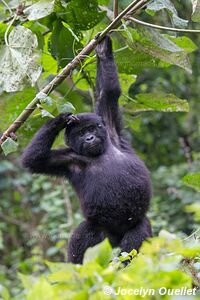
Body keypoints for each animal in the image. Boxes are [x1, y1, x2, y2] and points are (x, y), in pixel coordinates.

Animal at [21, 35, 152, 264]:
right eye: (81, 134)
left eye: (91, 129)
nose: (90, 138)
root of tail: (115, 238)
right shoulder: (69, 160)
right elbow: (34, 160)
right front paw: (60, 119)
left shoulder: (110, 129)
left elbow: (108, 92)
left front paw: (102, 51)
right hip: (101, 231)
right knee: (84, 234)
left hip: (135, 226)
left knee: (136, 239)